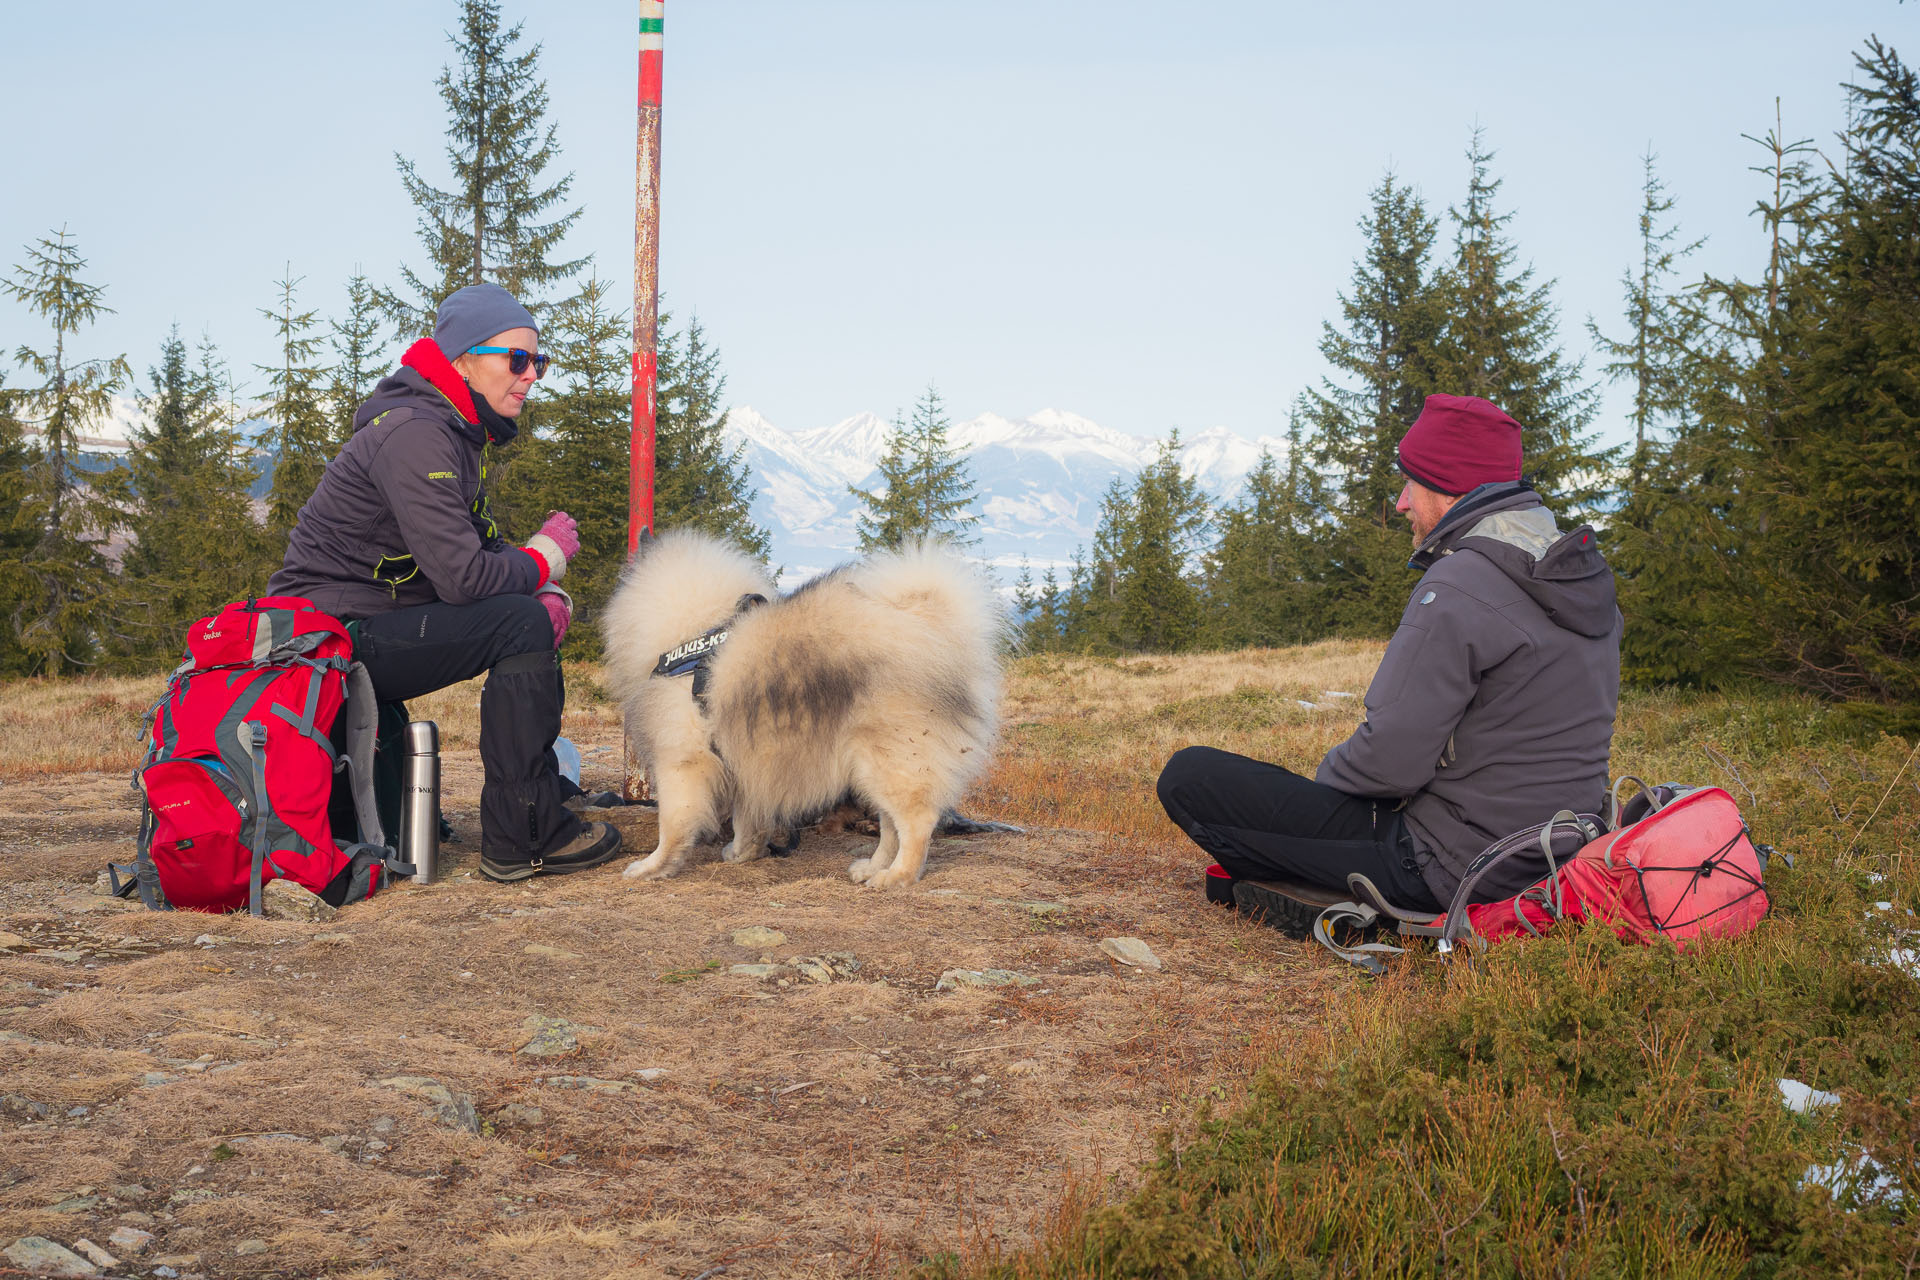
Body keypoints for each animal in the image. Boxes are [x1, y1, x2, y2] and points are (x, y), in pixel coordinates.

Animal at [606, 529, 1013, 890]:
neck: (696, 634)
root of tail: (937, 625)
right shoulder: (748, 762)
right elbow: (748, 819)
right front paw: (744, 852)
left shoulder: (682, 762)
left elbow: (673, 825)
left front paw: (653, 867)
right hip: (874, 767)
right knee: (890, 826)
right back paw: (873, 867)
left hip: (894, 759)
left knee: (915, 825)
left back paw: (897, 876)